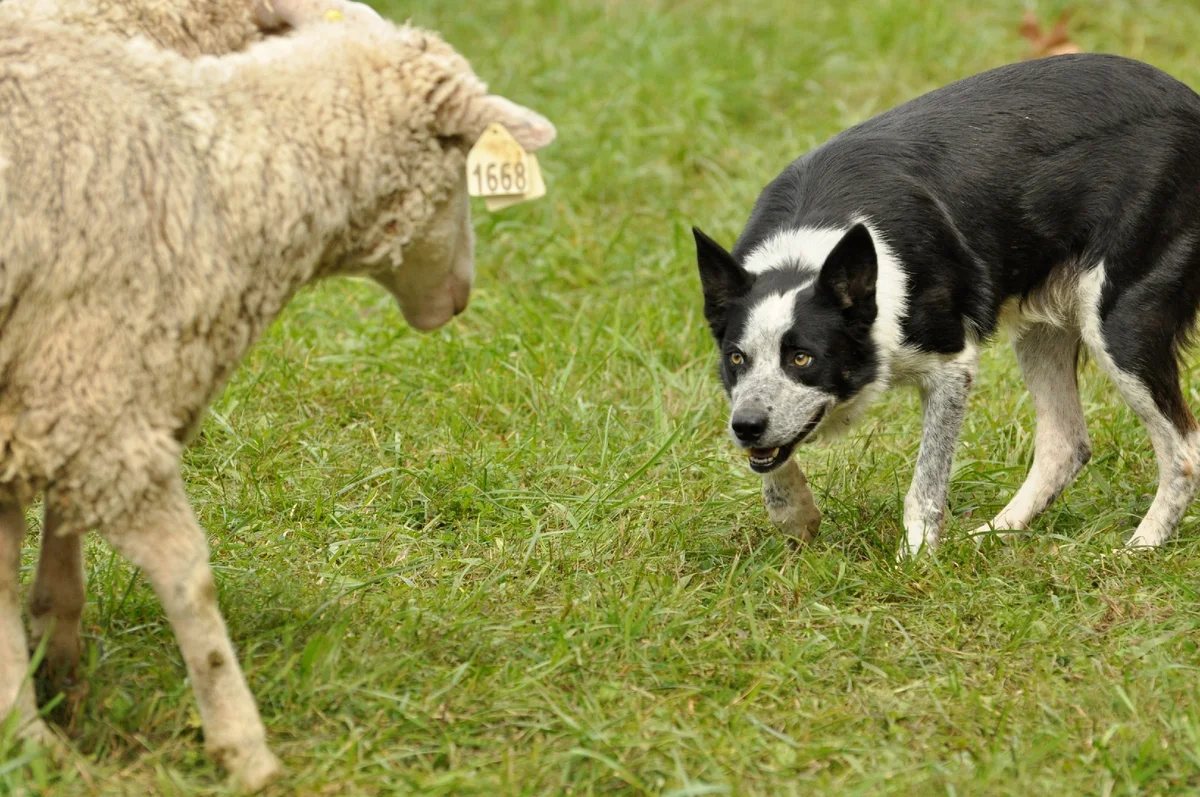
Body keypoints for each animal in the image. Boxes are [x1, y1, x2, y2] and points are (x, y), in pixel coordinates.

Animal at [0, 0, 552, 787]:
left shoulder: (47, 392)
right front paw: (242, 747)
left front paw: (32, 710)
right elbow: (184, 572)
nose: (460, 297)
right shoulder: (93, 386)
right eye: (458, 164)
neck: (217, 165)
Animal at [691, 52, 1200, 556]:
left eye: (802, 358)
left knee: (1183, 450)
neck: (810, 249)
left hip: (1119, 324)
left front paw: (914, 560)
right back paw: (997, 533)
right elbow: (773, 465)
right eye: (735, 359)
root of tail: (1190, 102)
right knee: (1067, 444)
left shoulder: (951, 366)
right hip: (1041, 328)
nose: (745, 427)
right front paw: (795, 514)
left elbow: (925, 483)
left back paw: (1144, 545)